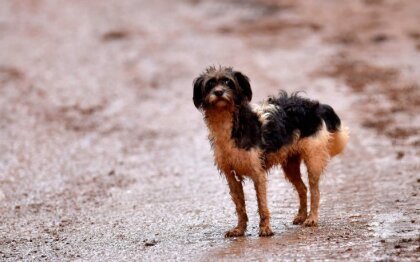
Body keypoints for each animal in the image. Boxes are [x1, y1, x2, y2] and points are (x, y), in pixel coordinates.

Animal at [192, 66, 350, 237]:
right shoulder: (231, 176)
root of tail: (316, 106)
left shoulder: (257, 173)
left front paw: (265, 229)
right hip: (290, 165)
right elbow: (240, 207)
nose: (219, 92)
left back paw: (312, 218)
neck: (228, 124)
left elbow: (262, 205)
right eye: (210, 84)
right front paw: (239, 229)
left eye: (228, 82)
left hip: (313, 160)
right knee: (303, 188)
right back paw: (301, 216)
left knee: (315, 191)